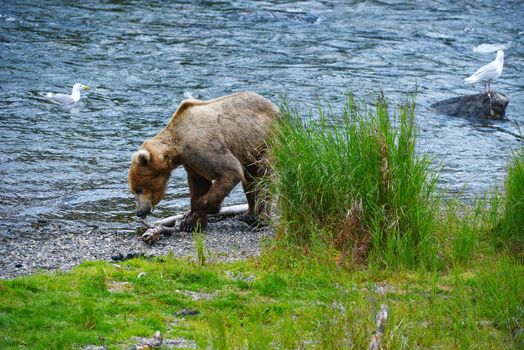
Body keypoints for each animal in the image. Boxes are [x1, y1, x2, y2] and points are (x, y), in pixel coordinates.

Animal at [127, 91, 280, 231]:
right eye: (133, 190)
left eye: (138, 188)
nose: (139, 212)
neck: (178, 145)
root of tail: (276, 108)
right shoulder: (191, 161)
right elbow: (198, 184)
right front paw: (192, 222)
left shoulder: (202, 145)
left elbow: (230, 170)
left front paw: (207, 210)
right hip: (249, 150)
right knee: (250, 180)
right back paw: (249, 213)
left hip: (265, 142)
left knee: (264, 176)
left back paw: (260, 218)